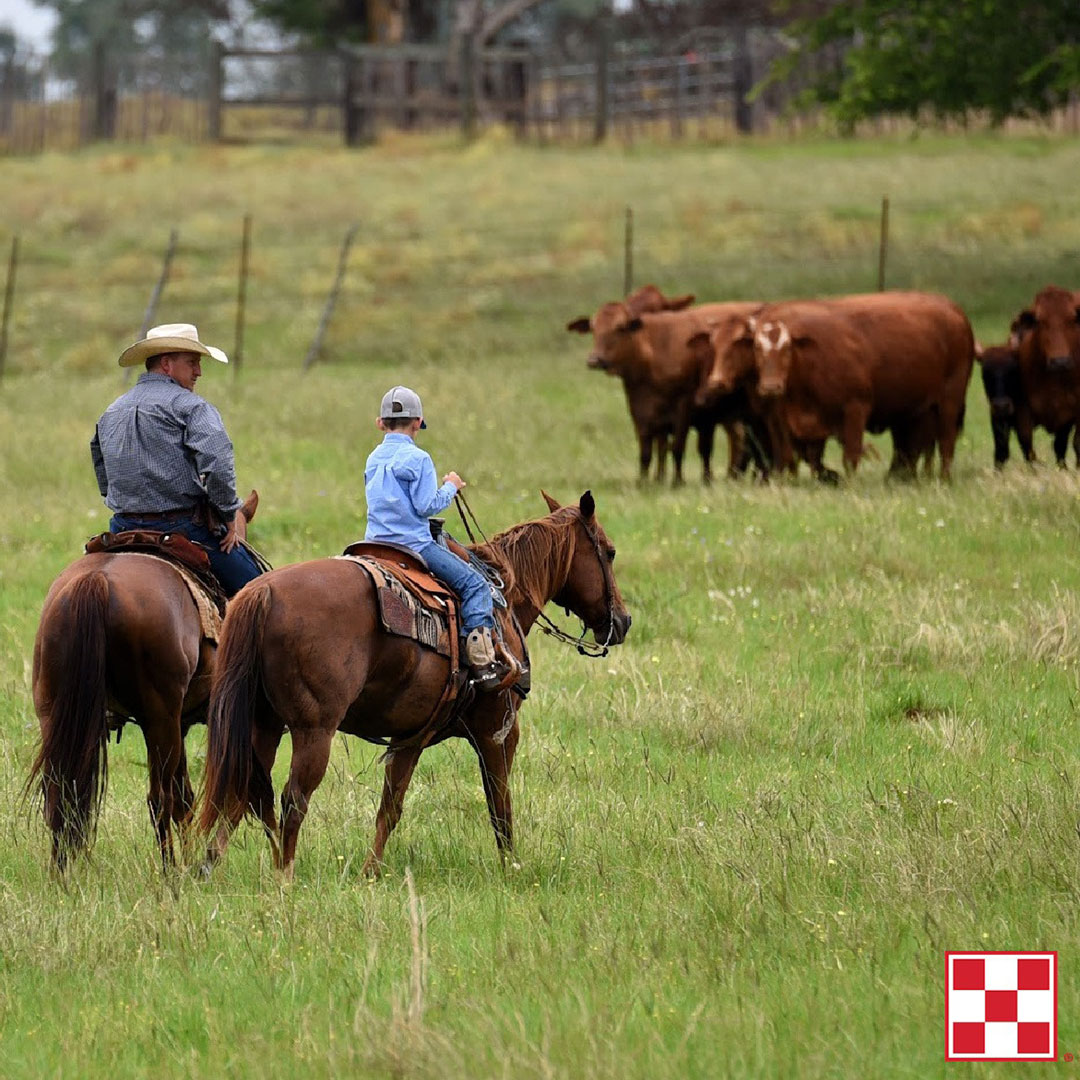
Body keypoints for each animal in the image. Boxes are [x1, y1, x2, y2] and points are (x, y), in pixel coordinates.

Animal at [27, 490, 257, 868]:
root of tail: (98, 580)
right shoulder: (184, 721)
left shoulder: (181, 722)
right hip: (159, 719)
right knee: (158, 799)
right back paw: (172, 874)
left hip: (54, 709)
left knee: (59, 797)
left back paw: (61, 874)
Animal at [200, 490, 630, 876]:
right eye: (608, 552)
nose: (622, 621)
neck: (503, 596)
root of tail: (264, 592)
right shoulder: (499, 731)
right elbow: (500, 806)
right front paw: (512, 870)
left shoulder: (410, 738)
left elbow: (390, 807)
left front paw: (371, 873)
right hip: (313, 731)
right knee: (293, 798)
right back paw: (283, 875)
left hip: (263, 724)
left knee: (239, 791)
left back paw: (209, 867)